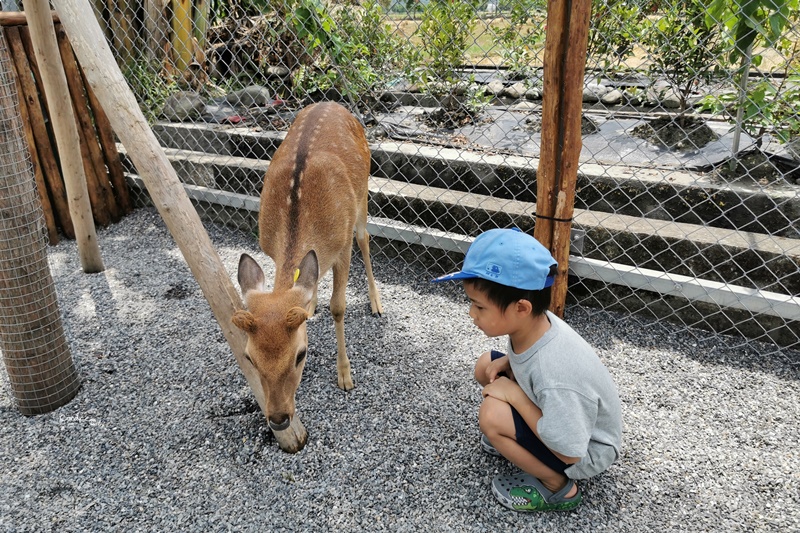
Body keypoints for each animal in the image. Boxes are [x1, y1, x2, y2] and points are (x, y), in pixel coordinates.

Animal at [231, 102, 384, 450]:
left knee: (366, 238)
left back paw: (376, 303)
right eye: (249, 357)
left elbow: (338, 307)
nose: (278, 418)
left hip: (364, 191)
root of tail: (333, 103)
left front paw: (345, 376)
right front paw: (308, 306)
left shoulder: (342, 247)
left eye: (301, 355)